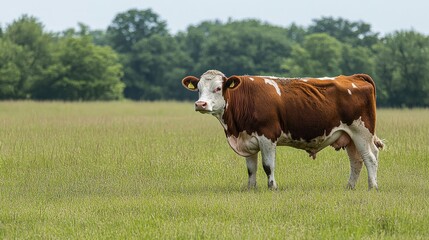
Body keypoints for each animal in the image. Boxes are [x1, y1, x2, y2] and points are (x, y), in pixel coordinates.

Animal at [182, 70, 382, 191]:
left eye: (218, 88)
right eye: (198, 89)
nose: (200, 104)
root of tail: (353, 77)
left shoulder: (267, 136)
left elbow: (267, 166)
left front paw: (272, 187)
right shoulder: (247, 140)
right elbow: (251, 169)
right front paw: (251, 188)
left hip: (362, 133)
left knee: (370, 158)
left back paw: (373, 187)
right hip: (349, 137)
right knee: (356, 161)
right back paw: (350, 187)